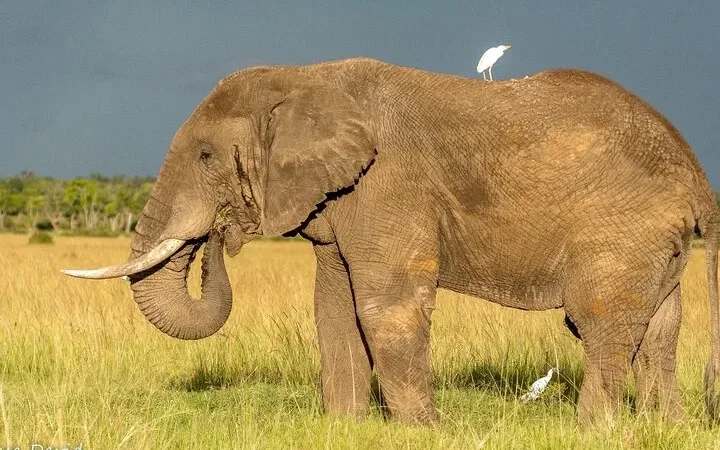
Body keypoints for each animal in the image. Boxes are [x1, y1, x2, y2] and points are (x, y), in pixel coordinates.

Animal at [63, 57, 720, 426]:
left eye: (204, 156)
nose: (221, 236)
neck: (308, 79)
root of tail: (693, 170)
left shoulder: (388, 182)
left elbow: (384, 305)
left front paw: (424, 432)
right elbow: (333, 307)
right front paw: (346, 428)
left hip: (623, 228)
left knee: (599, 322)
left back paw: (595, 431)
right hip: (655, 241)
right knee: (660, 329)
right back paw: (667, 429)